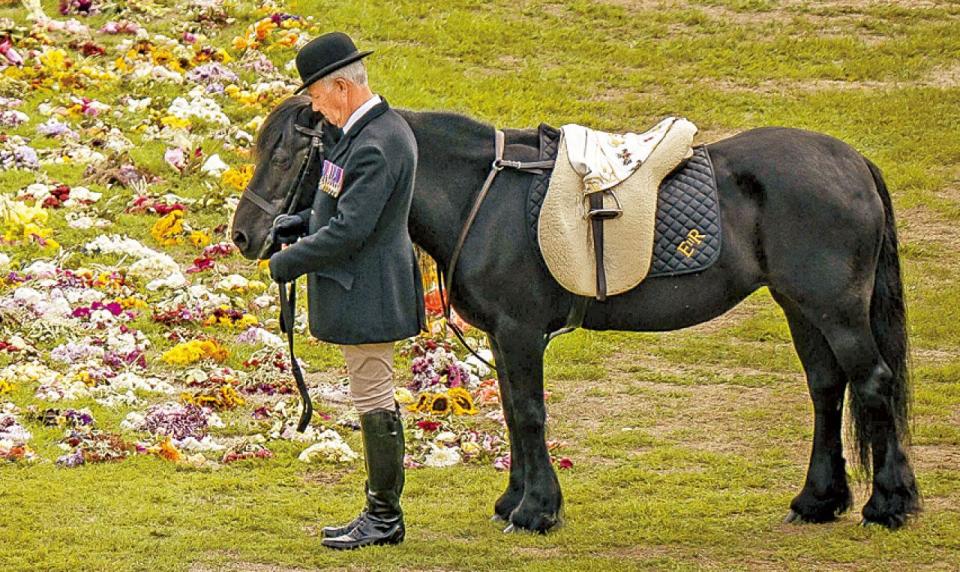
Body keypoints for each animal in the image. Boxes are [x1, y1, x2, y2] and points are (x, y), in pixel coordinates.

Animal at [229, 97, 920, 532]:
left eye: (286, 155)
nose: (244, 236)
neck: (485, 194)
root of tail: (852, 162)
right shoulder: (505, 337)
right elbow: (514, 413)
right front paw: (514, 501)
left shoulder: (519, 331)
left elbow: (530, 414)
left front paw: (537, 512)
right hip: (801, 306)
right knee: (827, 388)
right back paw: (818, 500)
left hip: (836, 309)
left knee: (872, 383)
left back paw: (889, 504)